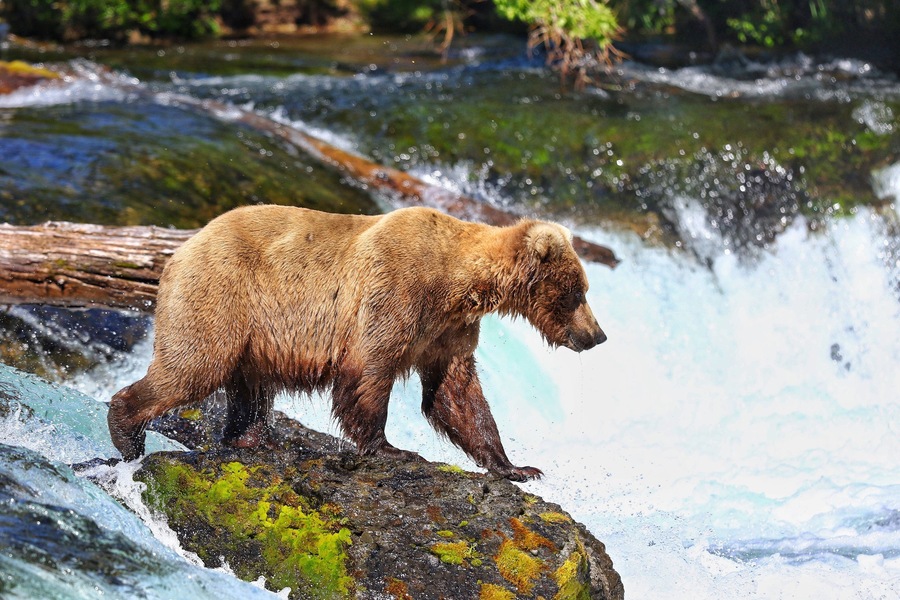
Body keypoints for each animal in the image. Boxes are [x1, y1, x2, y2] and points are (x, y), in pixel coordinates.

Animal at [107, 205, 606, 481]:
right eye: (577, 292)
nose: (597, 335)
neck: (457, 282)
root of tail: (178, 251)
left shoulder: (445, 332)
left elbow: (456, 394)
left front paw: (517, 467)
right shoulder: (396, 290)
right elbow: (369, 372)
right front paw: (389, 447)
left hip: (254, 335)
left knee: (249, 387)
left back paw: (251, 440)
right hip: (221, 294)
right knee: (193, 367)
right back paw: (126, 431)